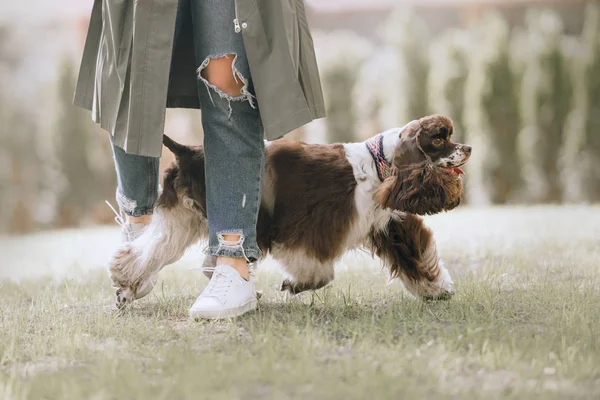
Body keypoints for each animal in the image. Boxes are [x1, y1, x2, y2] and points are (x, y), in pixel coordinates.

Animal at [110, 115, 472, 306]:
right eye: (439, 139)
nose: (468, 147)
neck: (377, 163)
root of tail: (187, 151)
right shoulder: (312, 226)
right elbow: (319, 271)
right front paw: (294, 284)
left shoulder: (389, 223)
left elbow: (416, 256)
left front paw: (436, 288)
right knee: (154, 254)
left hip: (184, 219)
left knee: (151, 251)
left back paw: (128, 287)